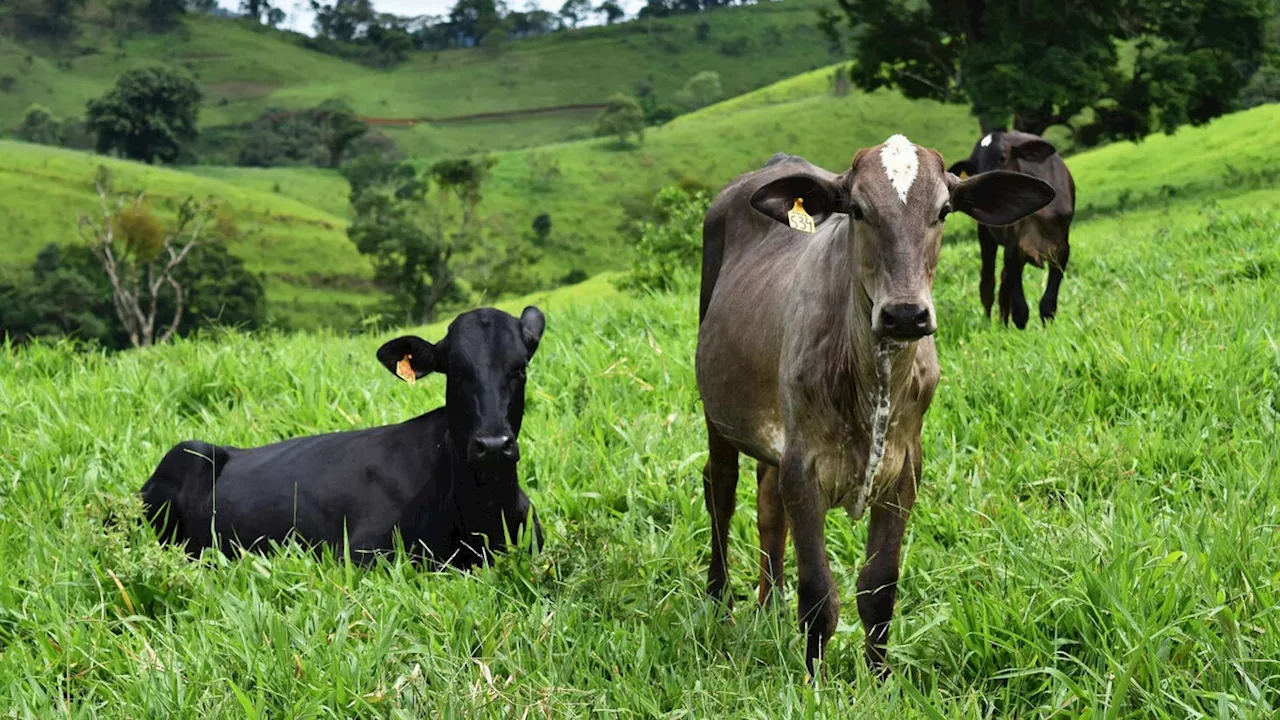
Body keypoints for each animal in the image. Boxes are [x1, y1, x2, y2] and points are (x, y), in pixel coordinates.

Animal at [142, 302, 547, 566]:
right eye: (457, 371)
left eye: (520, 369)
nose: (492, 445)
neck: (483, 511)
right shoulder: (360, 553)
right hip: (187, 457)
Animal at [696, 137, 1054, 676]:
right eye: (859, 210)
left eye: (943, 210)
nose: (905, 314)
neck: (873, 377)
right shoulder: (804, 468)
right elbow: (818, 595)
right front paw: (814, 682)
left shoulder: (904, 470)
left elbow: (879, 588)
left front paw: (881, 677)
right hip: (718, 414)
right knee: (721, 489)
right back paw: (721, 601)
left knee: (767, 507)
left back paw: (769, 602)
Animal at [947, 130, 1075, 326]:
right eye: (972, 168)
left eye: (1002, 158)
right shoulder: (1013, 248)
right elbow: (1020, 311)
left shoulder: (1062, 249)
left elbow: (1048, 304)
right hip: (986, 236)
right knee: (988, 283)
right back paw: (990, 323)